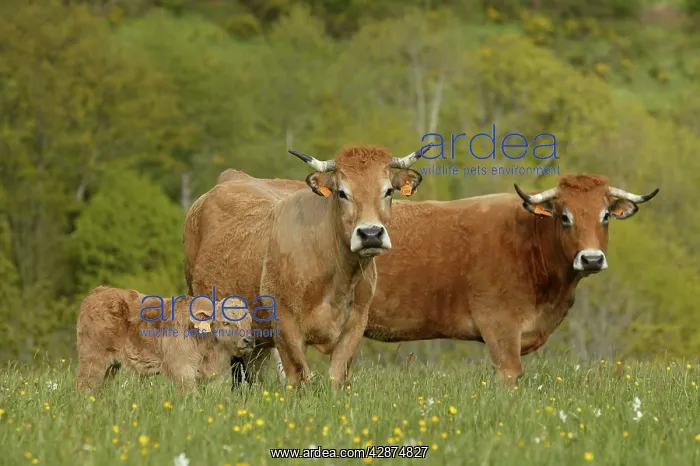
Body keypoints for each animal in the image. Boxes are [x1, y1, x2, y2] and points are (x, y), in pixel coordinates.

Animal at [76, 286, 254, 391]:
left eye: (249, 321)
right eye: (225, 322)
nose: (248, 340)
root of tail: (99, 291)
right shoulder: (181, 368)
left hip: (110, 367)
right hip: (92, 360)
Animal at [183, 145, 424, 389]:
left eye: (388, 191)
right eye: (342, 192)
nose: (371, 234)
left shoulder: (356, 323)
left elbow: (337, 376)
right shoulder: (285, 324)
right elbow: (299, 376)